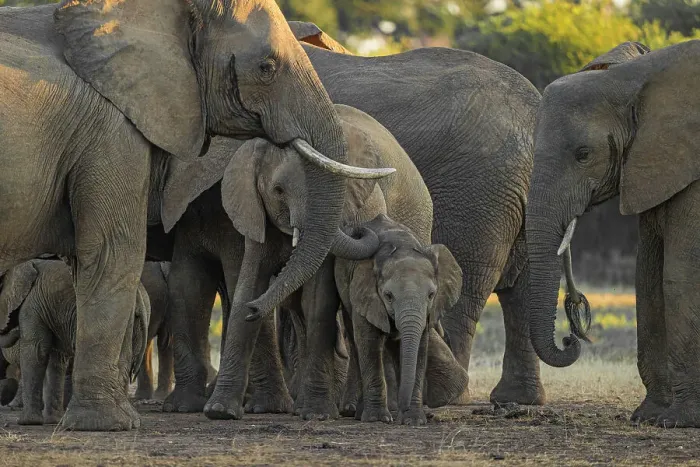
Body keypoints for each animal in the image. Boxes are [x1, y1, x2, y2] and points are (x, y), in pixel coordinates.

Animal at [335, 214, 463, 425]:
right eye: (388, 296)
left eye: (431, 295)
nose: (402, 408)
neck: (403, 247)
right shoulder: (364, 292)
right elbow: (369, 343)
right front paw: (378, 419)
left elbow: (419, 347)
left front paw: (414, 420)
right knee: (356, 342)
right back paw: (360, 414)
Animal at [525, 40, 700, 427]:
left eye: (583, 154)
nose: (570, 338)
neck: (632, 79)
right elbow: (647, 279)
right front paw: (647, 416)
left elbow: (679, 277)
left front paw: (677, 421)